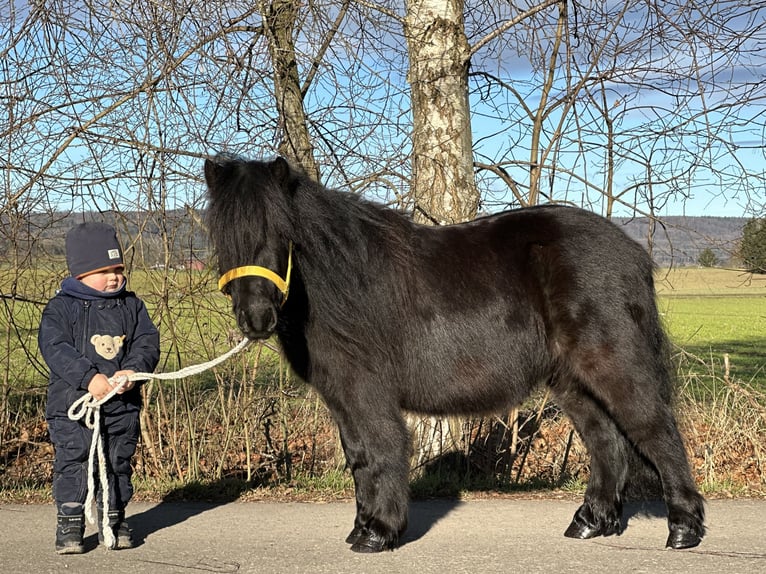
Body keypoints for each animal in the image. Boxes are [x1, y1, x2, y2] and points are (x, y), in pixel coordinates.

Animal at [206, 155, 708, 556]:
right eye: (223, 237)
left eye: (280, 232)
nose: (256, 318)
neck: (339, 279)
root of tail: (633, 253)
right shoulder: (342, 396)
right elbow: (358, 457)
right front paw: (362, 527)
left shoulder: (365, 390)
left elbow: (381, 451)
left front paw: (379, 532)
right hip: (571, 380)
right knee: (607, 442)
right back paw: (589, 524)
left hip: (612, 364)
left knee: (656, 431)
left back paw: (683, 530)